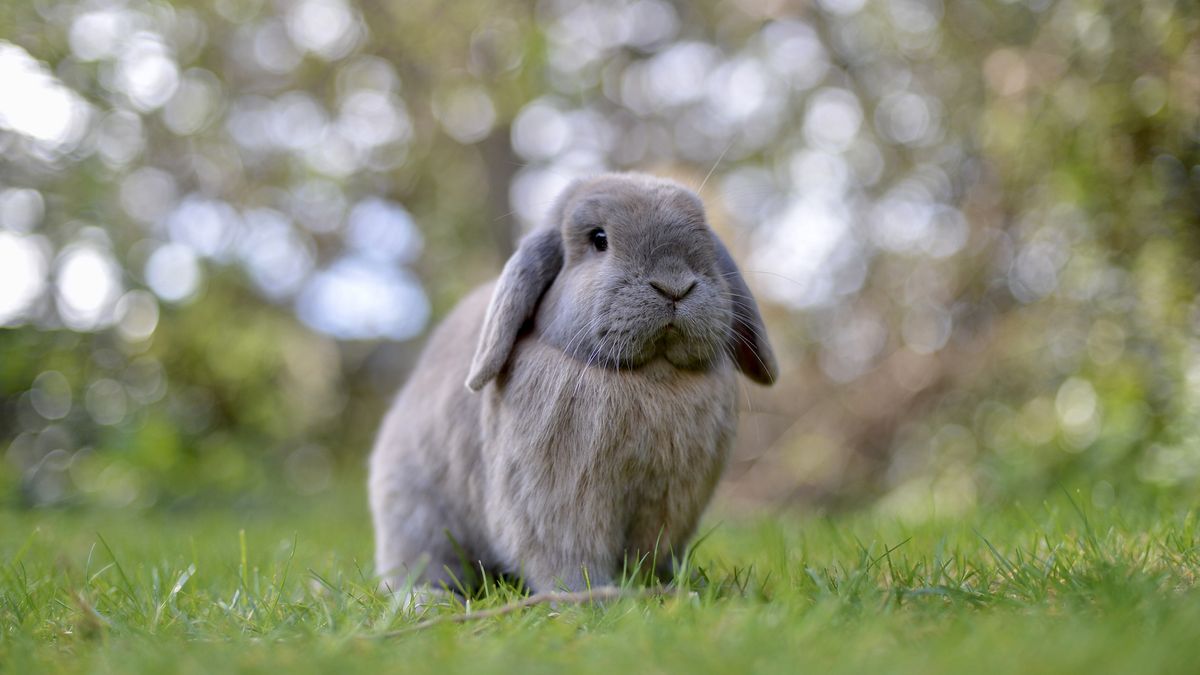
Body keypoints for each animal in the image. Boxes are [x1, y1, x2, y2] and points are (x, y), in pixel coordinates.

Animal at [369, 172, 776, 595]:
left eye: (705, 237)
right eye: (599, 239)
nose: (674, 285)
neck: (652, 375)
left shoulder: (669, 506)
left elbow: (654, 553)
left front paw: (669, 586)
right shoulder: (557, 504)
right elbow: (568, 557)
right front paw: (596, 597)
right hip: (416, 514)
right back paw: (425, 599)